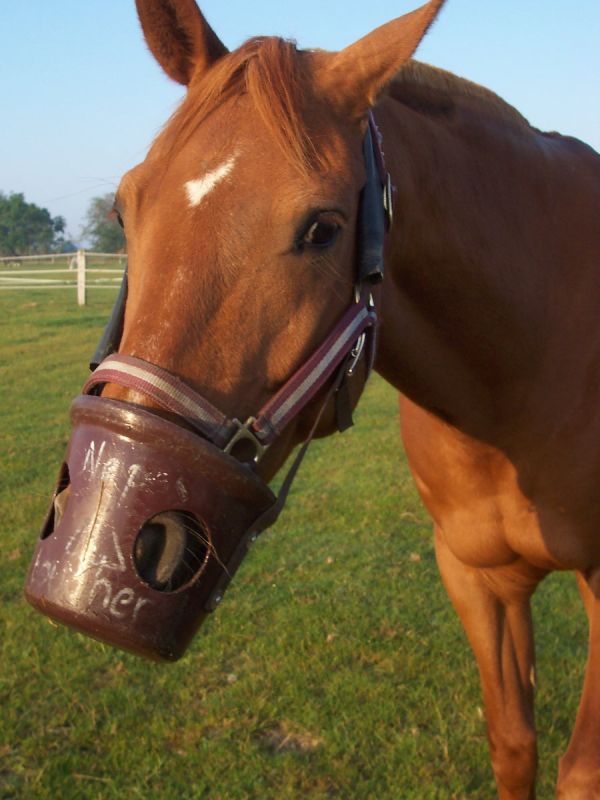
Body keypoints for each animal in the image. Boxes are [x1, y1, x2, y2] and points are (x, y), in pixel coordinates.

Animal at [25, 0, 600, 797]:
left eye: (322, 228)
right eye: (124, 206)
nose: (112, 540)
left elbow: (581, 770)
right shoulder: (474, 576)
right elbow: (514, 745)